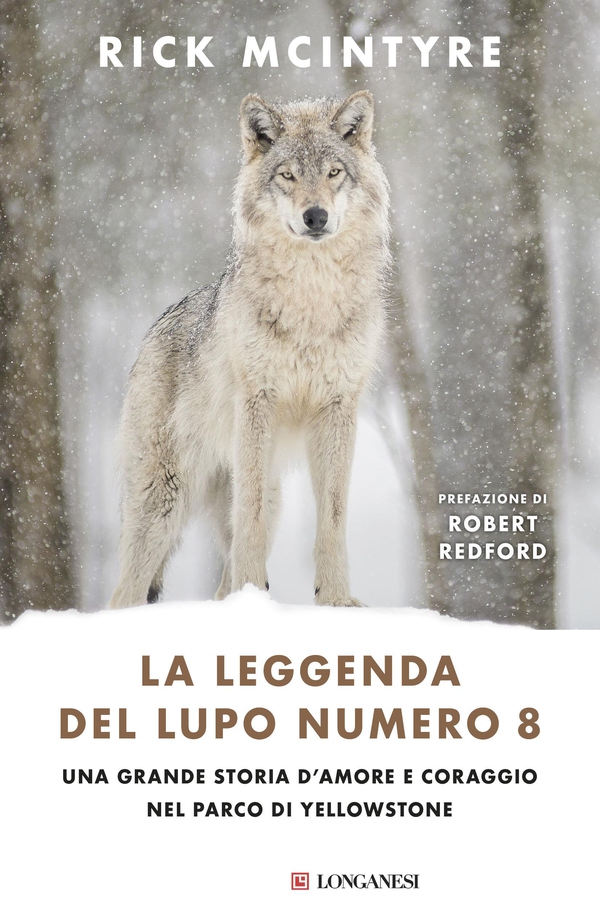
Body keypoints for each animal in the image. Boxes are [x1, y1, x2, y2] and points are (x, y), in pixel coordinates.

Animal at [109, 91, 391, 610]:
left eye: (333, 173)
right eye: (288, 175)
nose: (315, 216)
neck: (311, 301)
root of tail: (150, 334)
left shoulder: (339, 408)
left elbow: (333, 518)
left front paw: (336, 599)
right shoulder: (257, 401)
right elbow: (251, 518)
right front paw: (255, 593)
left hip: (262, 491)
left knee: (222, 570)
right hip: (163, 502)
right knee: (127, 591)